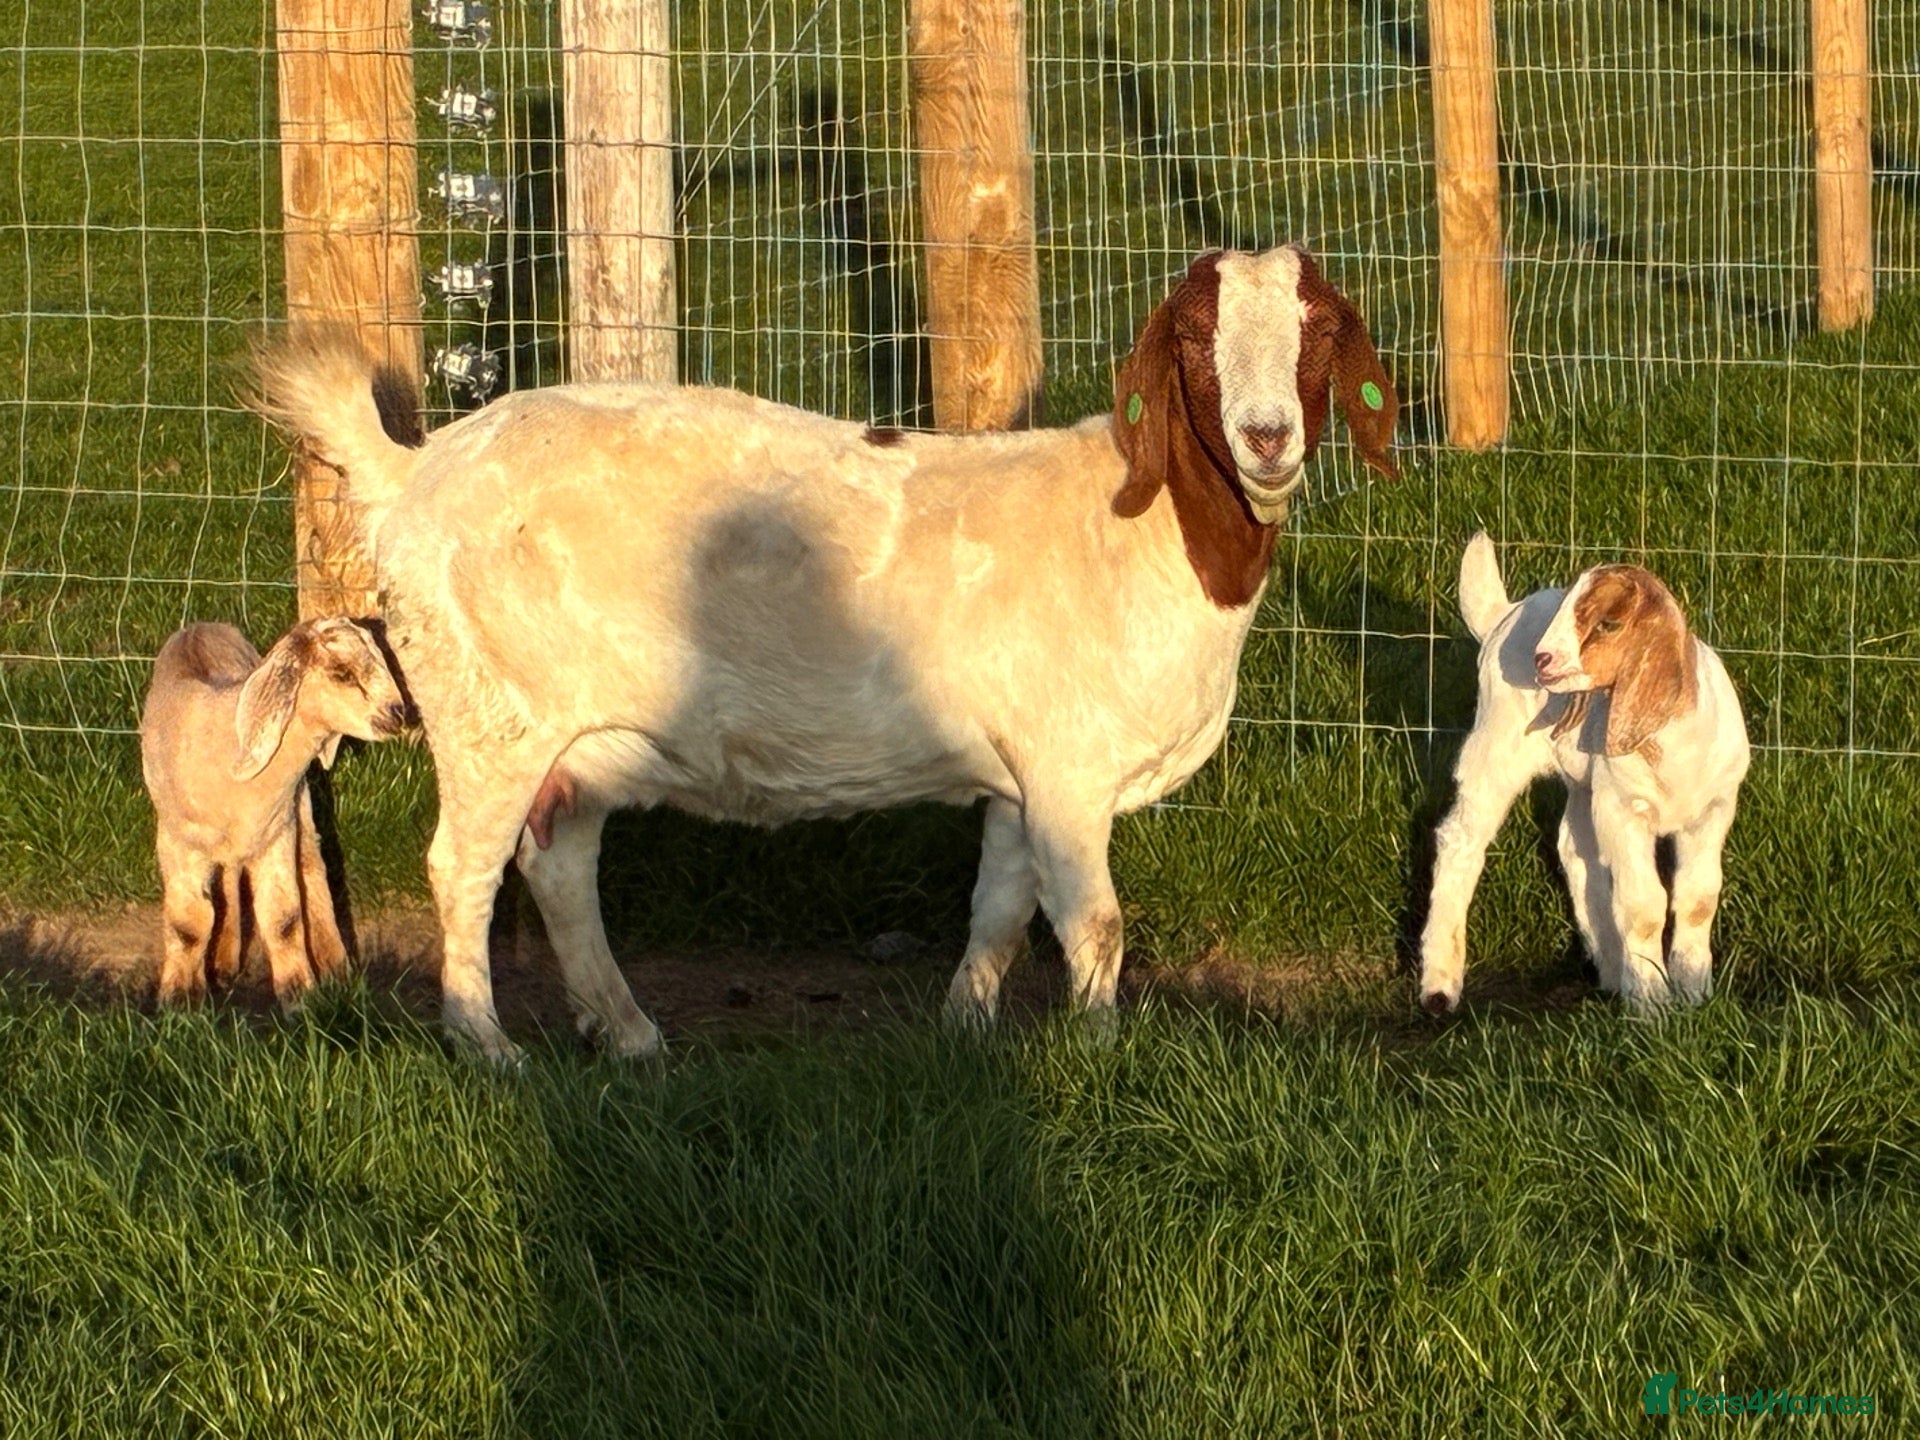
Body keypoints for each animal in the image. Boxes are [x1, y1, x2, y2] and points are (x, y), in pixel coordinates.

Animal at [140, 618, 408, 1006]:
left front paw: (300, 996)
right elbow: (189, 925)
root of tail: (201, 626)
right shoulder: (178, 841)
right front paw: (179, 1000)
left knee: (312, 869)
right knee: (229, 877)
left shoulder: (277, 834)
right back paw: (224, 962)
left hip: (300, 808)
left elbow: (282, 917)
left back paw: (335, 968)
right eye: (342, 674)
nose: (398, 713)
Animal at [253, 245, 1399, 1062]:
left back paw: (629, 1035)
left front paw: (965, 1031)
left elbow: (997, 909)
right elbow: (1095, 925)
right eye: (1198, 334)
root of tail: (412, 470)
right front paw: (1099, 1055)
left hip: (582, 740)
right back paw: (487, 1046)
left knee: (560, 866)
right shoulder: (1070, 768)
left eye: (1320, 325)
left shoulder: (1020, 774)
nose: (1266, 436)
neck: (1144, 529)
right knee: (464, 867)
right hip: (488, 709)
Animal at [1418, 533, 1751, 1014]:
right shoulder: (1623, 809)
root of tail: (1503, 614)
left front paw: (1694, 992)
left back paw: (1611, 969)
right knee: (1460, 840)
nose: (1543, 659)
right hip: (1497, 746)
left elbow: (1697, 899)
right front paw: (1651, 1001)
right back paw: (1440, 986)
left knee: (1575, 850)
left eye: (1609, 623)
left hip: (1584, 782)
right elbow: (1643, 906)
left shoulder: (1714, 809)